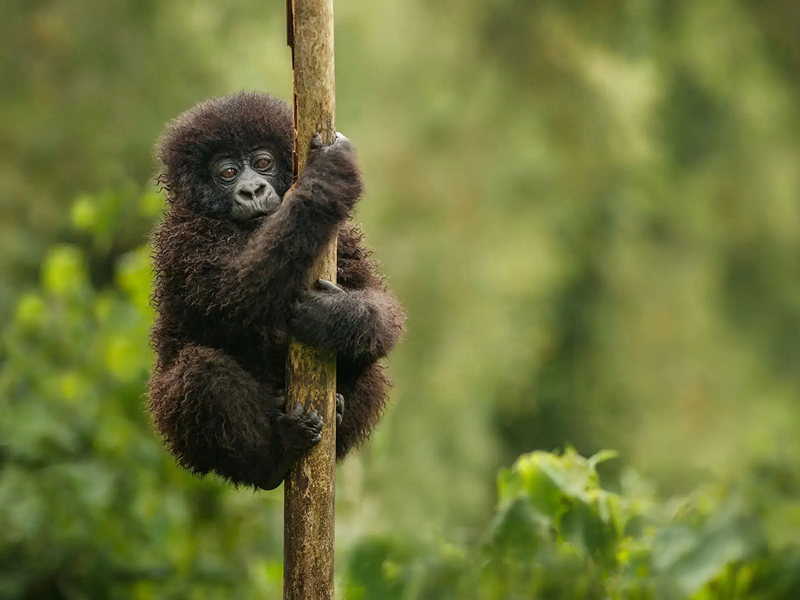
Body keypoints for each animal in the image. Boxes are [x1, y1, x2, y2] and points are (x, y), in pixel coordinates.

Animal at [146, 91, 405, 490]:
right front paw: (326, 178)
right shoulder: (184, 239)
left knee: (372, 365)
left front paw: (333, 317)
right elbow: (239, 291)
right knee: (200, 373)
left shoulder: (343, 237)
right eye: (227, 173)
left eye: (263, 163)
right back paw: (274, 457)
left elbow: (380, 305)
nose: (252, 189)